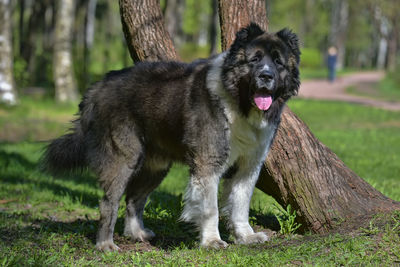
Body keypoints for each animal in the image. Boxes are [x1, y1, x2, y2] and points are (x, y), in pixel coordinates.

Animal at [43, 23, 300, 251]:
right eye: (254, 59)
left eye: (278, 62)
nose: (266, 76)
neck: (238, 102)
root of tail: (99, 86)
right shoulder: (208, 163)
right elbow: (210, 208)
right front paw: (211, 241)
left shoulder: (248, 166)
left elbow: (240, 204)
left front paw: (246, 236)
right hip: (123, 158)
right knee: (110, 202)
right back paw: (105, 244)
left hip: (156, 166)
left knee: (134, 199)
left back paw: (136, 233)